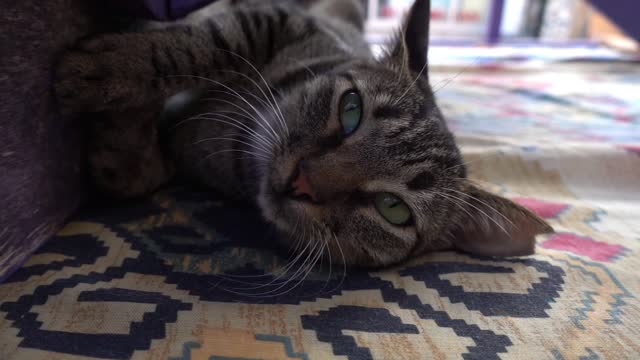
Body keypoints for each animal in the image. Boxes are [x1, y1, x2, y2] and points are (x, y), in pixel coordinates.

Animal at [55, 0, 552, 268]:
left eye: (393, 209)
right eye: (351, 109)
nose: (303, 182)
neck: (232, 151)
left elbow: (136, 176)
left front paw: (117, 143)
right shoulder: (277, 18)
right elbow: (207, 43)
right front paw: (109, 70)